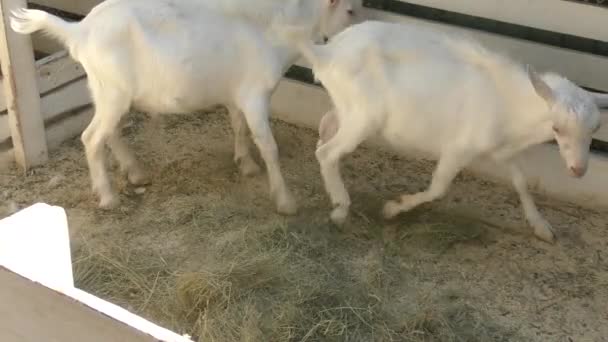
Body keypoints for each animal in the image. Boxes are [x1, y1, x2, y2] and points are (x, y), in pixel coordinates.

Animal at [9, 0, 358, 212]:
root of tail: (79, 30)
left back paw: (135, 172)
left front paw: (245, 164)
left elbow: (239, 127)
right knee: (91, 138)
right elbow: (269, 145)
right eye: (352, 10)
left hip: (105, 91)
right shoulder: (254, 95)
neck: (275, 28)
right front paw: (285, 200)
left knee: (110, 132)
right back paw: (107, 196)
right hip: (112, 91)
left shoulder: (236, 94)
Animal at [286, 20, 608, 243]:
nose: (578, 170)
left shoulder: (501, 151)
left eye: (596, 128)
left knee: (327, 127)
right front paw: (393, 208)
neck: (511, 102)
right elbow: (439, 187)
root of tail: (327, 52)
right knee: (327, 152)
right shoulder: (459, 147)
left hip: (348, 109)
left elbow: (521, 182)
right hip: (365, 117)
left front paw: (542, 228)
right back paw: (340, 208)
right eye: (557, 127)